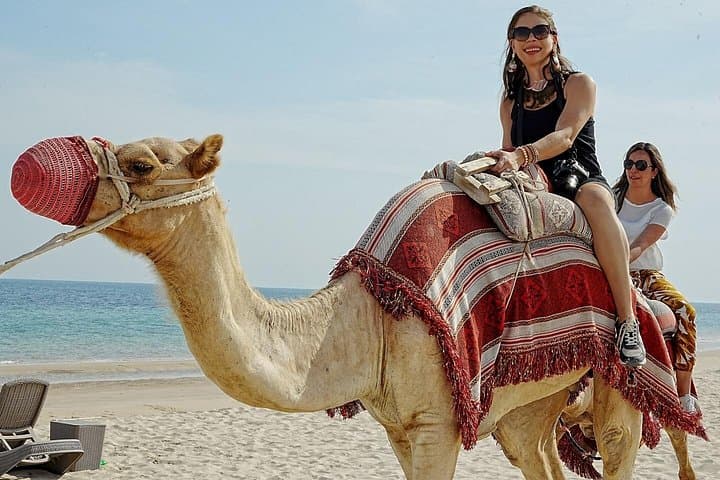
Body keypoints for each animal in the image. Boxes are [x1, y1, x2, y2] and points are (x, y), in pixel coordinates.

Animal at [6, 134, 647, 479]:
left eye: (142, 164)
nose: (30, 166)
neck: (368, 318)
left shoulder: (438, 419)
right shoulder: (398, 426)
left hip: (619, 382)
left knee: (619, 445)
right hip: (529, 409)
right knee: (538, 451)